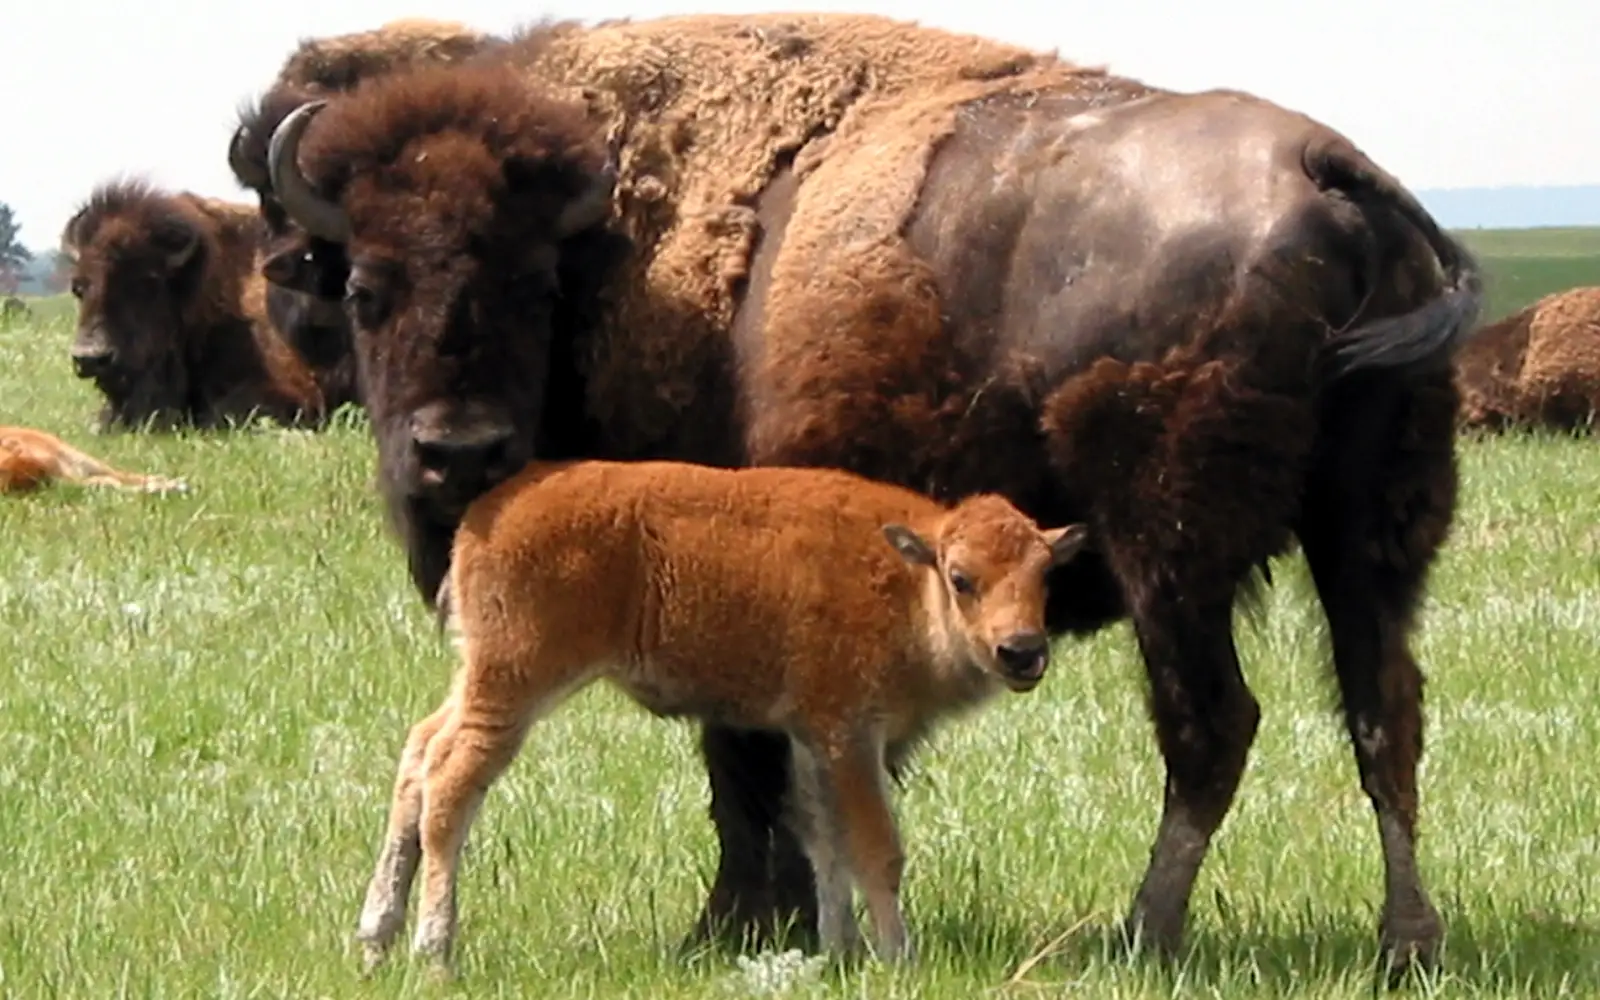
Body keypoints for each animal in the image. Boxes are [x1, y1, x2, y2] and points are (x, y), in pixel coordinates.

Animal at [355, 457, 1089, 972]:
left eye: (1045, 575)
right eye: (962, 578)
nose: (1022, 651)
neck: (909, 575)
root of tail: (487, 514)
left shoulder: (810, 736)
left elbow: (823, 838)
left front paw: (841, 950)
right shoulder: (850, 733)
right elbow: (876, 846)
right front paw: (897, 957)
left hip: (477, 679)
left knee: (419, 755)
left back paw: (374, 938)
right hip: (515, 685)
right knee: (452, 786)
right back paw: (434, 952)